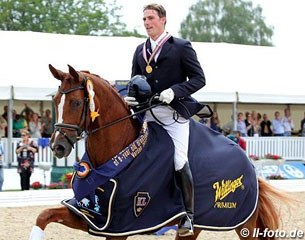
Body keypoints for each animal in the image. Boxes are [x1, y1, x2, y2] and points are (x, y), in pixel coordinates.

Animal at [29, 64, 290, 240]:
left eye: (75, 103)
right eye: (55, 100)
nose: (57, 146)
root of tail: (249, 164)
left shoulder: (119, 226)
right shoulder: (92, 216)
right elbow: (43, 215)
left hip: (244, 224)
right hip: (196, 229)